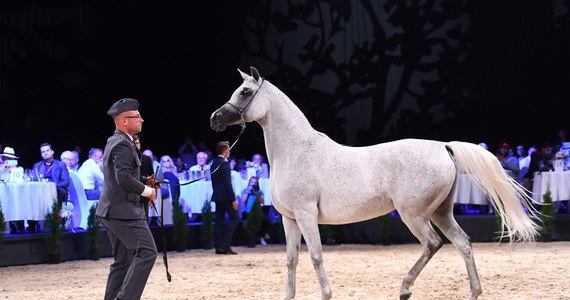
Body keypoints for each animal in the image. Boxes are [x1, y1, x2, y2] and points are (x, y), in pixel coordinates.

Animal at [211, 67, 540, 298]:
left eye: (244, 92)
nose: (215, 118)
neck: (297, 150)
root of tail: (443, 146)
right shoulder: (289, 219)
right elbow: (291, 260)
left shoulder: (306, 215)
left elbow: (316, 256)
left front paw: (326, 295)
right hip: (441, 212)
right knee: (463, 243)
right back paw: (473, 292)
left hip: (413, 215)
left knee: (433, 244)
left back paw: (405, 288)